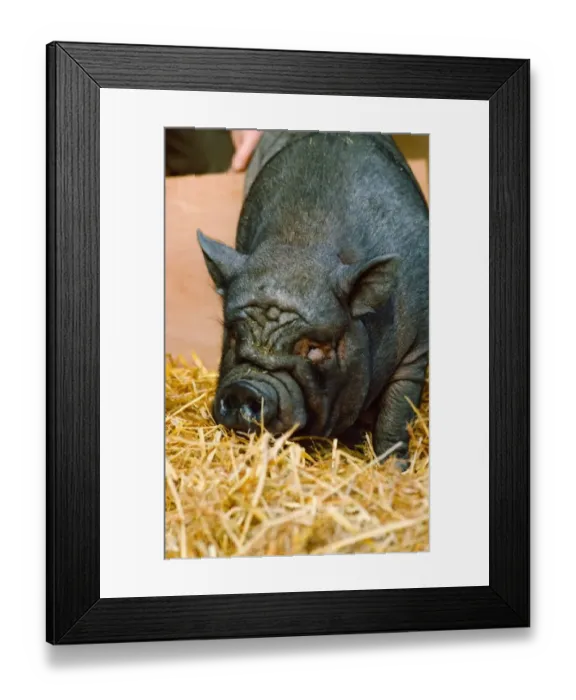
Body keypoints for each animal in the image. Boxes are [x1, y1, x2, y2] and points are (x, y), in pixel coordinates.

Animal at [197, 130, 428, 467]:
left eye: (315, 349)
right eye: (234, 335)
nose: (245, 390)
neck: (302, 240)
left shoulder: (416, 349)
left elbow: (396, 413)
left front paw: (394, 468)